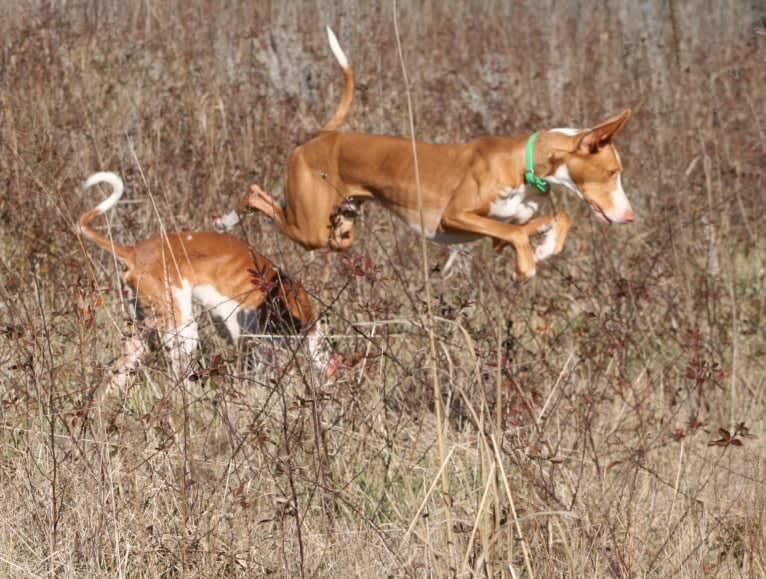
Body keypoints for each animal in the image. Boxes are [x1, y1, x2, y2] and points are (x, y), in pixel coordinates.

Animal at [242, 28, 636, 280]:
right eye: (612, 173)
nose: (631, 217)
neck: (522, 166)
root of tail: (321, 137)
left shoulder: (502, 231)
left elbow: (542, 223)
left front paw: (544, 248)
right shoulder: (454, 217)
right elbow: (515, 234)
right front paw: (527, 265)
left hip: (339, 232)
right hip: (309, 227)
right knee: (256, 195)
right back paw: (238, 212)